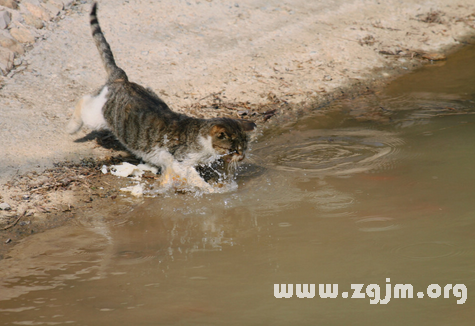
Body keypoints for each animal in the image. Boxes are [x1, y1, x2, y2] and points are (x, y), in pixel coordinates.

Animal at [66, 2, 256, 190]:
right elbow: (195, 178)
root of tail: (122, 79)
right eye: (235, 150)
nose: (242, 157)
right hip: (98, 115)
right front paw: (211, 190)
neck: (203, 140)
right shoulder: (182, 161)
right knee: (83, 102)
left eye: (245, 148)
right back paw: (72, 126)